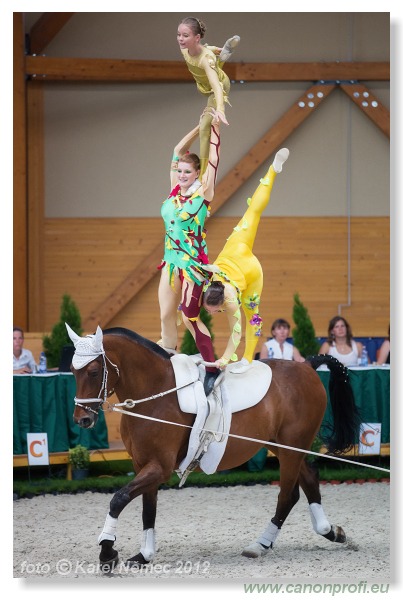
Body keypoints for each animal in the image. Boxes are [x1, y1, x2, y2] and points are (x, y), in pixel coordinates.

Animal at [67, 326, 360, 568]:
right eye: (72, 371)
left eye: (94, 372)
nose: (82, 419)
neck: (154, 394)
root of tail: (307, 366)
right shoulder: (143, 465)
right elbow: (147, 510)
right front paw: (144, 555)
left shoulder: (159, 467)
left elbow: (119, 499)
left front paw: (107, 551)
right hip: (283, 446)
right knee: (309, 478)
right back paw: (330, 531)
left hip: (291, 447)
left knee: (287, 495)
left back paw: (260, 545)